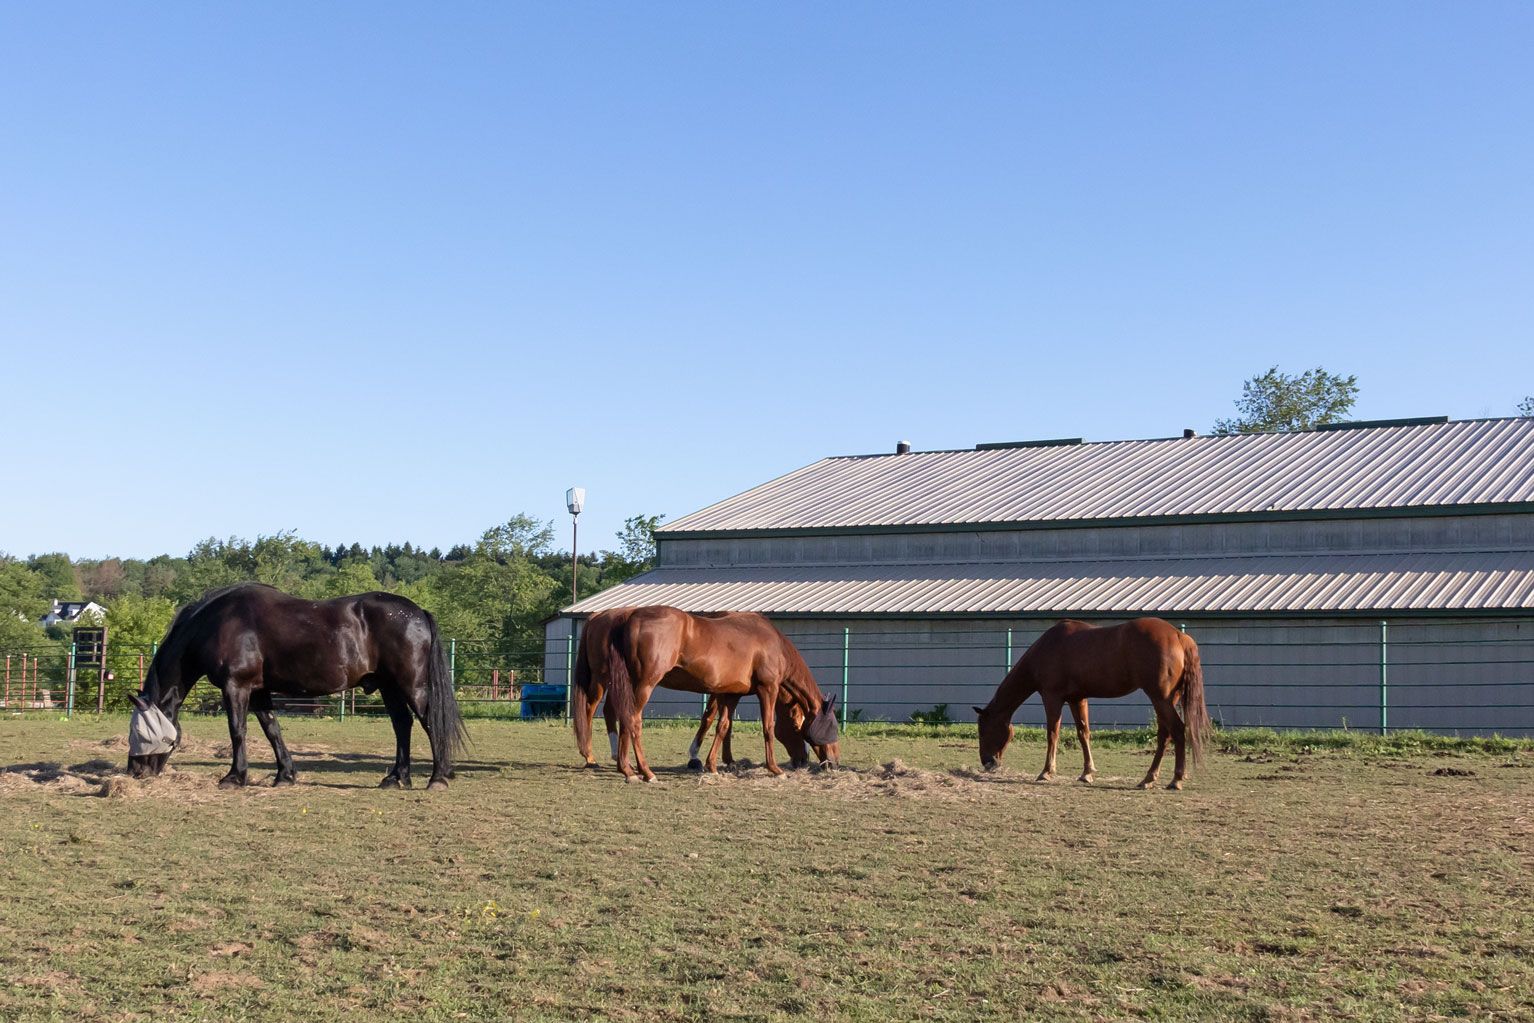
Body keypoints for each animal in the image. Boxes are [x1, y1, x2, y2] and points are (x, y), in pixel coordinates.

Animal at [126, 583, 468, 790]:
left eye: (141, 733)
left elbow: (238, 730)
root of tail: (418, 612)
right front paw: (285, 775)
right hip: (389, 687)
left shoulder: (236, 687)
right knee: (402, 724)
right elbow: (272, 730)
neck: (217, 623)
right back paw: (397, 778)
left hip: (411, 685)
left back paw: (437, 778)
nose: (135, 772)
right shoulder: (259, 691)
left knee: (428, 721)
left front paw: (235, 777)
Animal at [578, 605, 840, 782]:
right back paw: (642, 770)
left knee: (619, 716)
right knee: (628, 719)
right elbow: (767, 727)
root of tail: (626, 618)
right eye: (797, 725)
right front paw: (774, 769)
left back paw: (626, 768)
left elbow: (722, 726)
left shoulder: (731, 694)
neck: (771, 642)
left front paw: (714, 764)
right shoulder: (767, 689)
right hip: (639, 684)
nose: (834, 763)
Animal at [973, 618, 1210, 790]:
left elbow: (1052, 734)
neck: (1048, 648)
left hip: (1160, 698)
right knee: (1165, 735)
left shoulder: (1052, 697)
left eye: (982, 730)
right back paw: (1148, 778)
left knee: (1177, 730)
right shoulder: (1078, 699)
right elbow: (1083, 733)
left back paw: (1175, 779)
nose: (987, 762)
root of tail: (1180, 636)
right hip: (1168, 699)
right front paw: (1087, 773)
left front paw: (1047, 772)